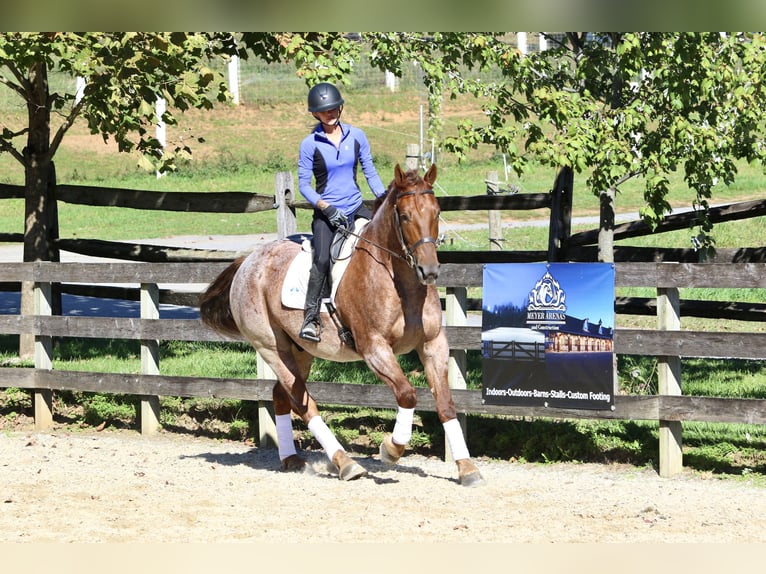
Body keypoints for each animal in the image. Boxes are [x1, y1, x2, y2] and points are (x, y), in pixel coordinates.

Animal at [199, 164, 485, 487]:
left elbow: (446, 403)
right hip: (271, 347)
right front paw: (391, 449)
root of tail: (248, 261)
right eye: (405, 215)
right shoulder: (374, 348)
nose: (430, 271)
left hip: (301, 350)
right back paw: (346, 463)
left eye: (436, 212)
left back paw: (292, 459)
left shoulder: (433, 343)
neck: (398, 281)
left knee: (281, 395)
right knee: (303, 402)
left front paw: (467, 468)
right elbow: (407, 394)